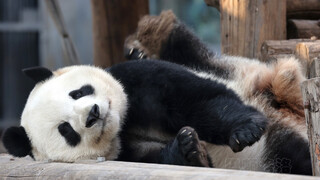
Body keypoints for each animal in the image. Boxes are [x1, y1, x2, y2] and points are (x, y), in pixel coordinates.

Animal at [2, 60, 268, 169]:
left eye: (77, 93)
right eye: (65, 129)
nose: (93, 114)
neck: (123, 125)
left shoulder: (139, 79)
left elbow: (200, 102)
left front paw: (245, 130)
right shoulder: (124, 154)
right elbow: (154, 158)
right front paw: (189, 150)